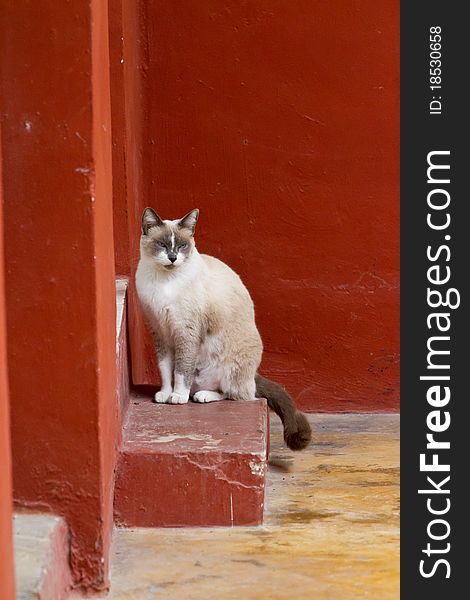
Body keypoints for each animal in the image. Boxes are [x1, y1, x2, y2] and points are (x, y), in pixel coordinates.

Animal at [136, 207, 312, 450]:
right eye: (162, 244)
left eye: (181, 246)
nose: (172, 258)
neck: (165, 281)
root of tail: (253, 375)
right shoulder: (160, 332)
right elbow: (165, 369)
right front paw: (165, 394)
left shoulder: (185, 333)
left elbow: (181, 370)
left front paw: (177, 397)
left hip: (230, 369)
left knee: (237, 395)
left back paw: (201, 396)